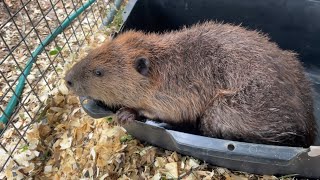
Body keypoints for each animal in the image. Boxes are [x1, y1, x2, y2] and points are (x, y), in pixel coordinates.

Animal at [65, 21, 318, 148]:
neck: (166, 66)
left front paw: (126, 114)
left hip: (225, 110)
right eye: (94, 52)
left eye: (99, 72)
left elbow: (173, 114)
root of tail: (309, 127)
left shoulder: (177, 94)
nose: (67, 79)